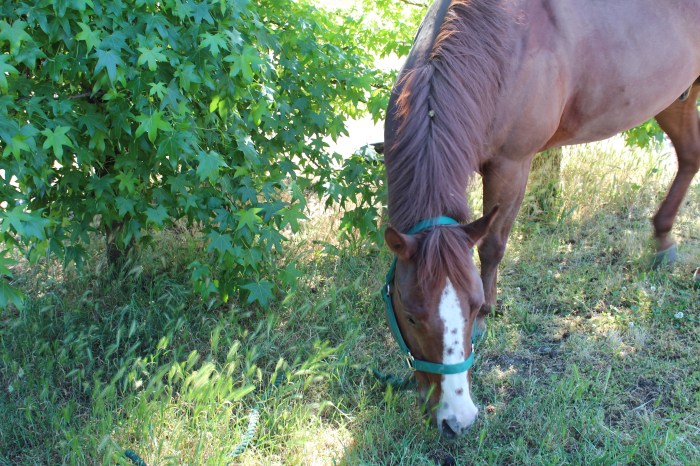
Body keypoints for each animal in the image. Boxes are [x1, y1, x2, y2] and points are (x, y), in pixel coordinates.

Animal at [382, 0, 700, 438]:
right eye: (411, 316)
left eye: (473, 305)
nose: (458, 420)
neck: (500, 49)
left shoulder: (512, 165)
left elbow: (493, 245)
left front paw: (489, 314)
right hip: (677, 99)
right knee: (690, 156)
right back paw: (664, 237)